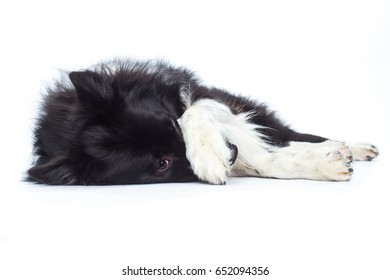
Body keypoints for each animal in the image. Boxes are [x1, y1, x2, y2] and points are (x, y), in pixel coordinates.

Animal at [29, 58, 380, 186]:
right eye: (162, 163)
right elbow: (265, 159)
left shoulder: (210, 100)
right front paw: (325, 163)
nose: (230, 152)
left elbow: (196, 113)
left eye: (172, 124)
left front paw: (209, 154)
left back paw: (354, 147)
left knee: (290, 132)